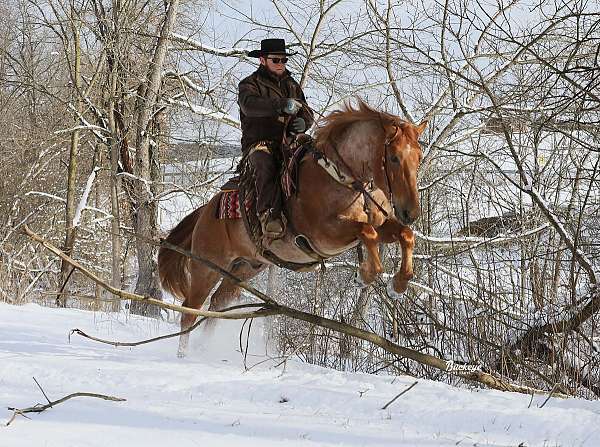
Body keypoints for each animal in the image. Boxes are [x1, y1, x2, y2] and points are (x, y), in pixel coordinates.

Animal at [159, 100, 426, 358]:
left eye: (419, 158)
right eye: (393, 157)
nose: (410, 212)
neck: (341, 178)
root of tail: (206, 210)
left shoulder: (381, 225)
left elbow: (405, 235)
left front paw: (398, 285)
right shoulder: (325, 235)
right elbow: (368, 233)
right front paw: (366, 275)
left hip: (245, 268)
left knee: (217, 302)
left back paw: (204, 348)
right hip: (207, 267)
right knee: (190, 309)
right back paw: (182, 355)